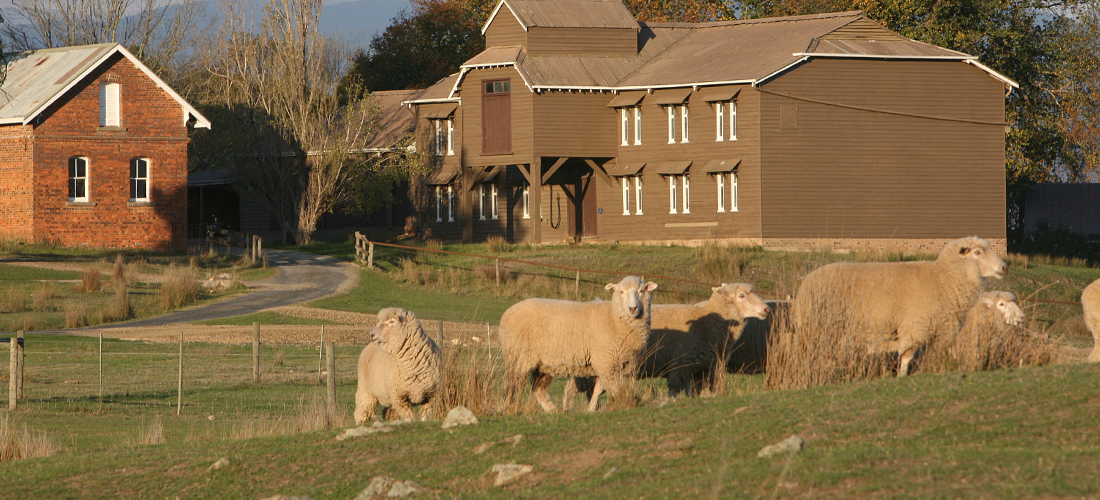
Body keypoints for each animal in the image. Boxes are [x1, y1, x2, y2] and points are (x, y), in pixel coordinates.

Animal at [501, 275, 660, 413]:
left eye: (641, 291)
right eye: (621, 292)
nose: (633, 308)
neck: (613, 317)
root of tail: (507, 313)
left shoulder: (614, 363)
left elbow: (599, 389)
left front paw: (591, 408)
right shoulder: (606, 361)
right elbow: (612, 387)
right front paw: (621, 403)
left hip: (544, 363)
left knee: (537, 387)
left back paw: (552, 410)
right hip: (519, 357)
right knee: (511, 383)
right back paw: (509, 407)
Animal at [792, 237, 1007, 378]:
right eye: (977, 253)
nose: (1005, 267)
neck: (941, 279)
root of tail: (806, 282)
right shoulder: (914, 327)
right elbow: (906, 357)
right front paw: (901, 376)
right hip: (815, 326)